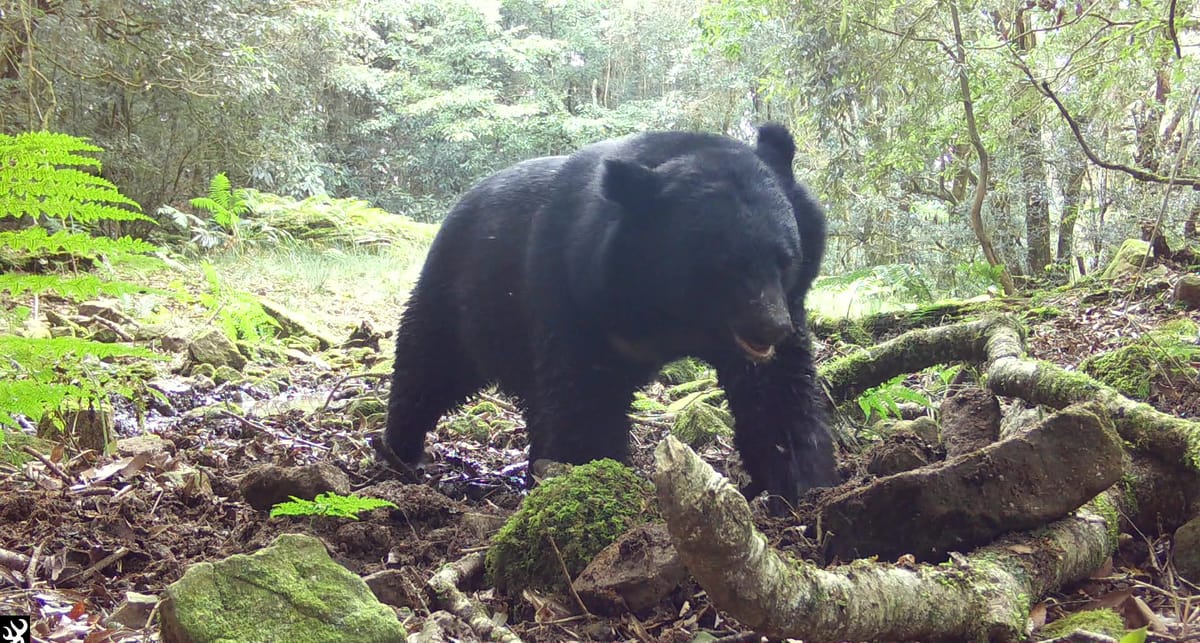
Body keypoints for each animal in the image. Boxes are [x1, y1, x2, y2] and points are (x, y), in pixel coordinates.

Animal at [377, 124, 837, 507]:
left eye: (786, 259)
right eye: (723, 267)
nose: (770, 329)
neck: (675, 316)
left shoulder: (785, 304)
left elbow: (777, 393)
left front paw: (802, 483)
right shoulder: (575, 293)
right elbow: (586, 399)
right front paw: (597, 480)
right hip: (458, 294)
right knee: (427, 366)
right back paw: (402, 450)